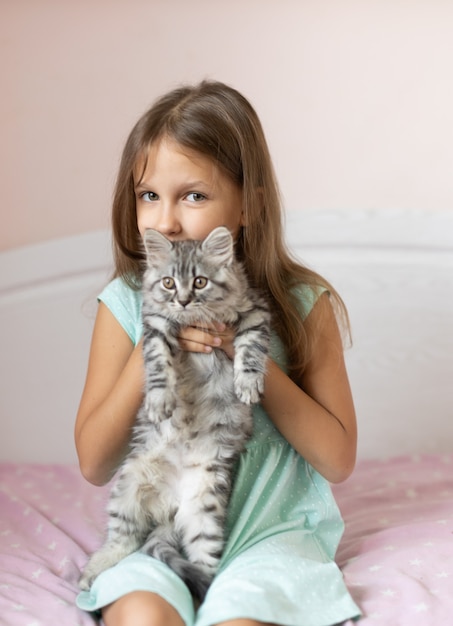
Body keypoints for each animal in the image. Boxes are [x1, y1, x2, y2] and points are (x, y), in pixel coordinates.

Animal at [78, 225, 268, 600]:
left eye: (199, 282)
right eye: (168, 283)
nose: (181, 300)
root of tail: (170, 507)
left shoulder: (255, 314)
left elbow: (251, 349)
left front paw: (248, 383)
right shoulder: (156, 326)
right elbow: (158, 367)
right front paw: (159, 402)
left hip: (205, 506)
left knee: (202, 556)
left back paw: (206, 591)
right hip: (127, 487)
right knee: (123, 541)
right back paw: (92, 572)